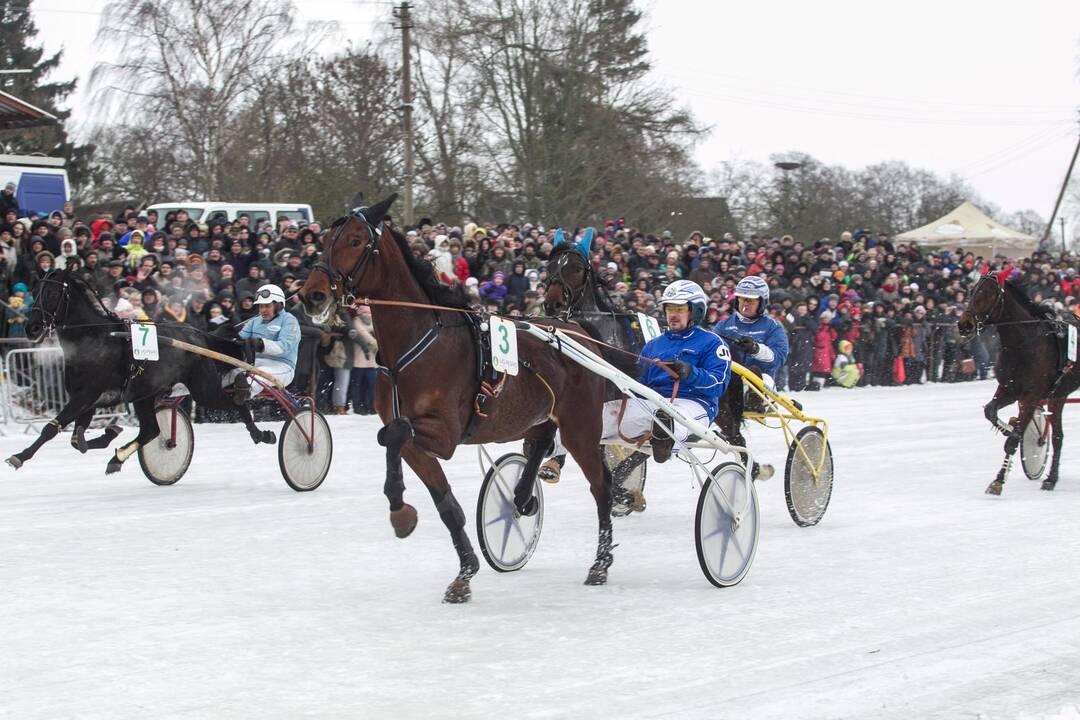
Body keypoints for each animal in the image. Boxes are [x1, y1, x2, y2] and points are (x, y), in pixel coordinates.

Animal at [9, 267, 274, 474]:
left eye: (52, 293)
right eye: (34, 292)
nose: (32, 328)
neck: (95, 338)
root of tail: (198, 335)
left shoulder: (85, 396)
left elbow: (51, 428)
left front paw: (19, 457)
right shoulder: (85, 398)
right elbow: (76, 439)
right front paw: (109, 433)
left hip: (202, 389)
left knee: (236, 404)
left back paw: (260, 432)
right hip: (145, 395)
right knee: (151, 430)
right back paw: (117, 458)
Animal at [295, 193, 617, 604]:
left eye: (355, 241)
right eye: (323, 241)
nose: (313, 294)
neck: (417, 343)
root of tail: (579, 329)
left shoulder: (445, 433)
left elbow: (392, 434)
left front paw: (399, 507)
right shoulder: (417, 438)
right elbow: (439, 495)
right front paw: (463, 571)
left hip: (580, 426)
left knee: (601, 486)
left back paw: (601, 564)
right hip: (538, 416)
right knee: (541, 441)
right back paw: (522, 497)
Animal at [963, 272, 1080, 496]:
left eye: (988, 293)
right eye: (972, 290)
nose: (964, 324)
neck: (1023, 343)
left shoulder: (1032, 395)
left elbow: (1013, 441)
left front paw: (998, 481)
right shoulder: (1009, 388)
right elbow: (990, 411)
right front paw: (1011, 426)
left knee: (1057, 436)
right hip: (1058, 395)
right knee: (1057, 436)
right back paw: (1051, 478)